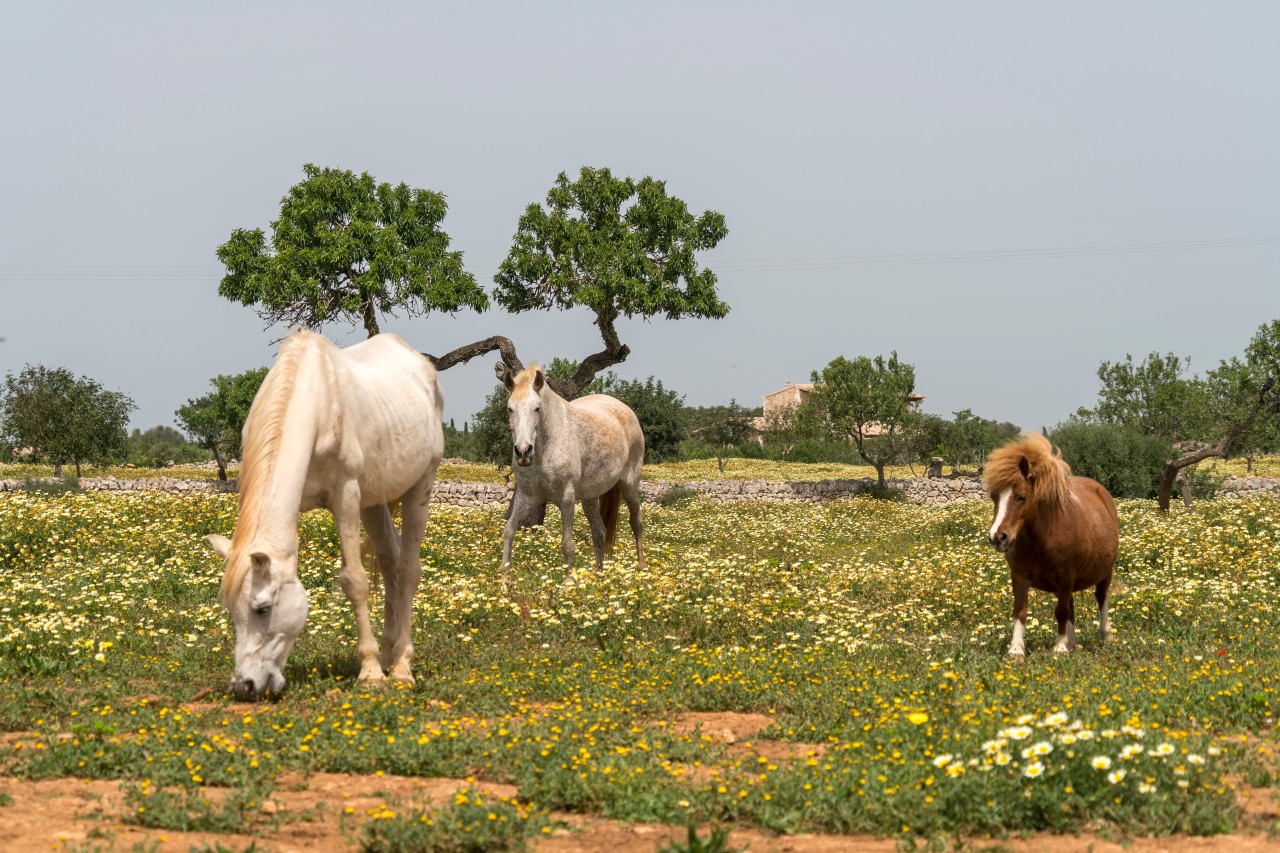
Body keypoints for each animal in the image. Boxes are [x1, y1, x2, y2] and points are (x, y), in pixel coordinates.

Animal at [206, 327, 445, 696]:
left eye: (263, 609)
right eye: (232, 611)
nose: (246, 686)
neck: (314, 404)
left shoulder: (346, 496)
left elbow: (354, 580)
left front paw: (370, 671)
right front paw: (376, 663)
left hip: (420, 484)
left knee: (407, 569)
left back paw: (402, 666)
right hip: (373, 502)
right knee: (389, 561)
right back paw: (389, 653)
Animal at [494, 361, 645, 578]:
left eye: (537, 408)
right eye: (509, 409)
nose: (523, 451)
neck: (545, 450)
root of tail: (626, 410)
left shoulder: (566, 499)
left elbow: (567, 545)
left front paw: (567, 583)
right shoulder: (526, 496)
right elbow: (509, 530)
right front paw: (505, 578)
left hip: (629, 485)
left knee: (636, 522)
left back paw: (641, 566)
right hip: (590, 497)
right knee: (599, 532)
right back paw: (599, 576)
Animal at [983, 432, 1116, 655]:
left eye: (1021, 497)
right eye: (994, 497)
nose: (997, 537)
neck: (1042, 537)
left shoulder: (1066, 577)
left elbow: (1061, 611)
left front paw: (1059, 646)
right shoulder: (1020, 576)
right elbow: (1020, 611)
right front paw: (1016, 650)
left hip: (1105, 572)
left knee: (1101, 598)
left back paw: (1105, 636)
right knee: (1071, 604)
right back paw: (1072, 642)